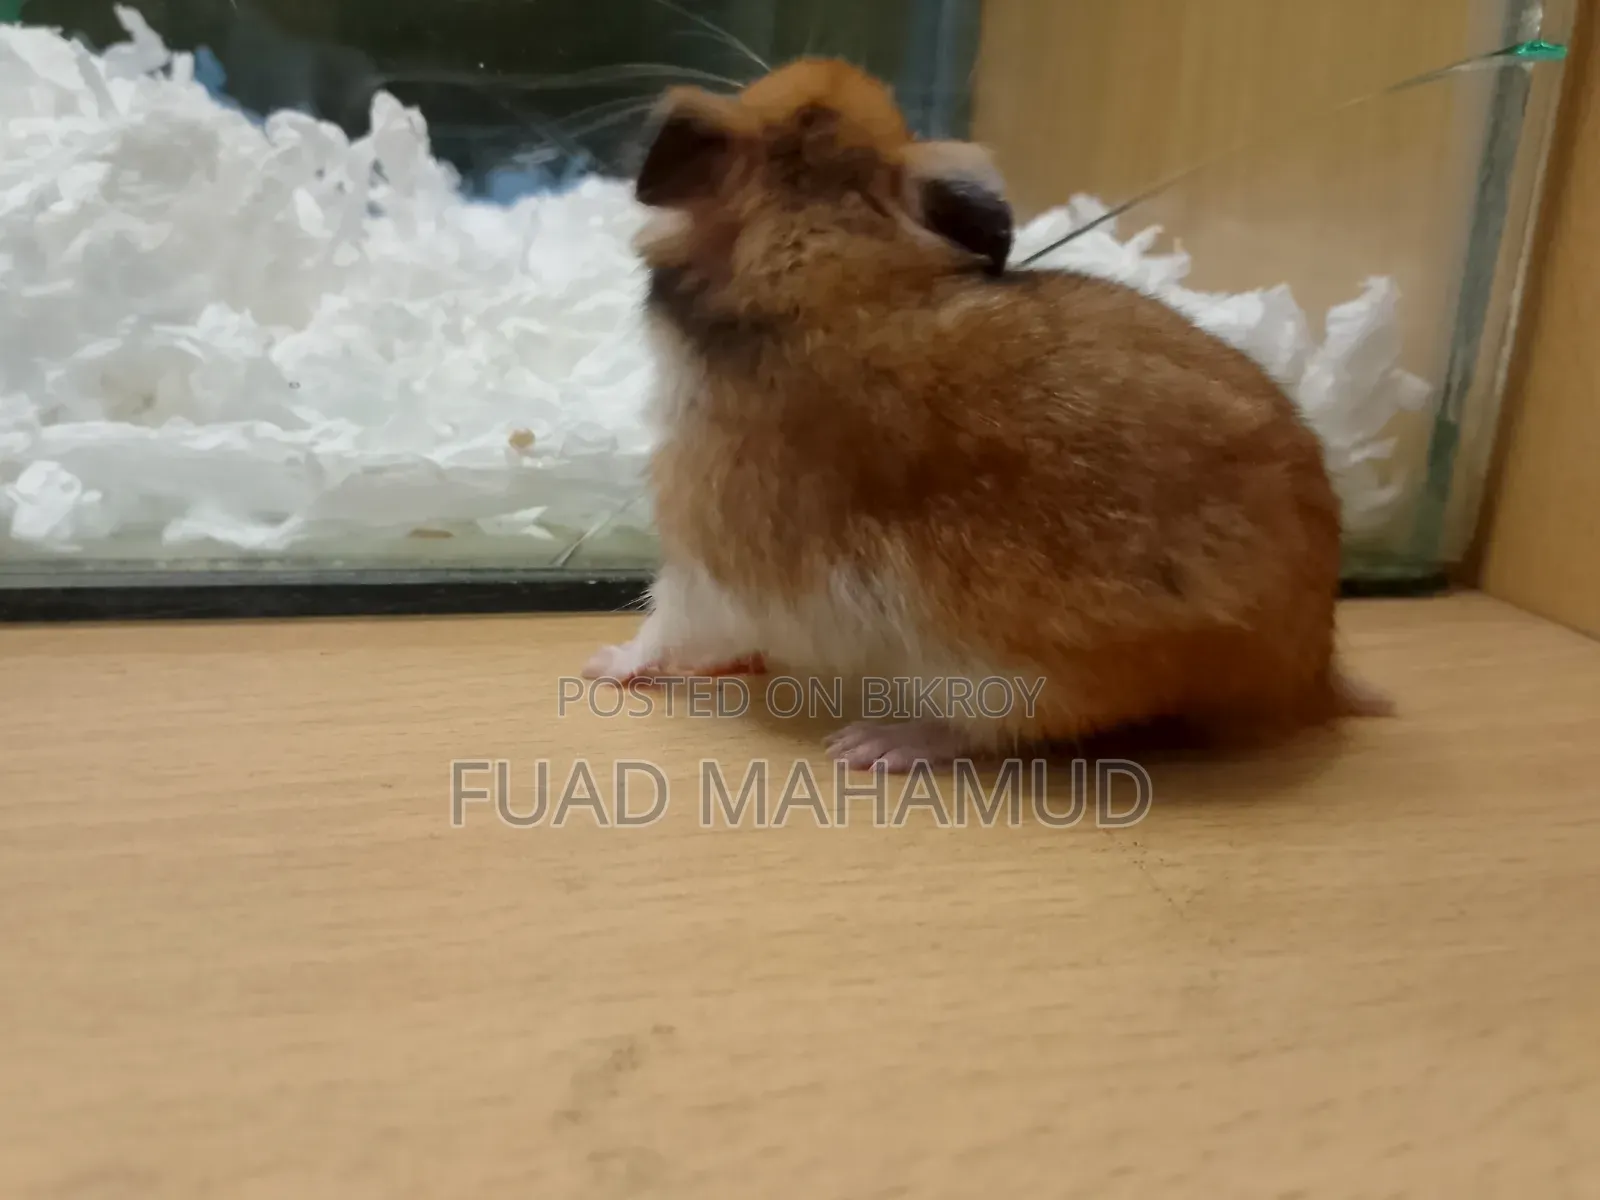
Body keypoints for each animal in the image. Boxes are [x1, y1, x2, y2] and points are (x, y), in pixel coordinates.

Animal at [583, 57, 1391, 772]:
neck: (822, 237)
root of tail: (1313, 678)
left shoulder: (706, 558)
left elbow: (665, 625)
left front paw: (600, 666)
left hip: (1012, 678)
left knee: (990, 731)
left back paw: (871, 746)